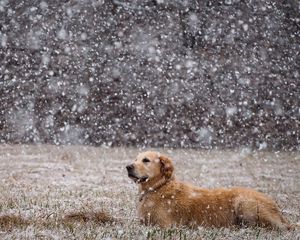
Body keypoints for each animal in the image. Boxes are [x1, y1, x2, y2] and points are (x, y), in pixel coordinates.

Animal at [126, 151, 292, 230]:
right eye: (135, 159)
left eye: (146, 160)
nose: (128, 166)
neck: (158, 188)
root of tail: (277, 209)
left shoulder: (165, 225)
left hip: (244, 203)